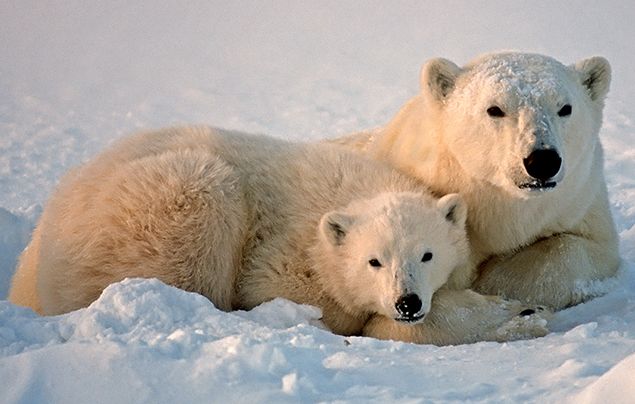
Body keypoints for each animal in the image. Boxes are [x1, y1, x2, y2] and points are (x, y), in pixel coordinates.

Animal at [9, 127, 548, 344]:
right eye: (373, 260)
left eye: (428, 254)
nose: (407, 302)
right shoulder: (286, 252)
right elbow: (298, 295)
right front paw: (513, 314)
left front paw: (520, 310)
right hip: (159, 203)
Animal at [338, 50, 620, 310]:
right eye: (494, 109)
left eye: (565, 108)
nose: (542, 161)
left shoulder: (577, 201)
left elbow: (583, 249)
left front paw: (495, 279)